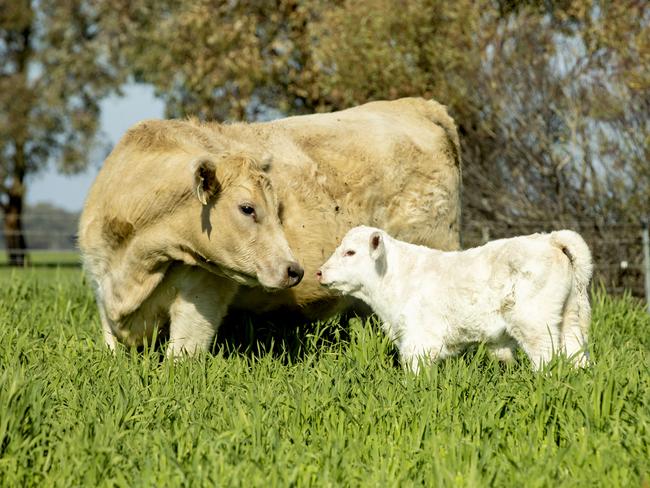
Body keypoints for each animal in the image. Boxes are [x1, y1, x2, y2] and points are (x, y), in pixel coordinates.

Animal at [78, 97, 458, 356]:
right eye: (247, 208)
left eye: (278, 209)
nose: (295, 270)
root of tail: (416, 105)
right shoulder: (100, 291)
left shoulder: (202, 295)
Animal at [316, 227, 588, 372]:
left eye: (350, 252)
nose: (319, 272)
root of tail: (549, 239)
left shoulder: (419, 340)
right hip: (571, 318)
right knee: (576, 355)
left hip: (535, 325)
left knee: (547, 358)